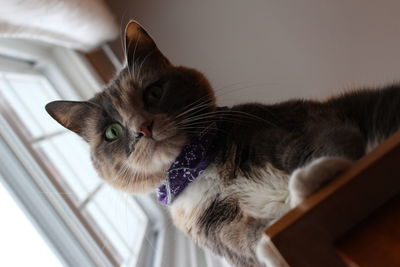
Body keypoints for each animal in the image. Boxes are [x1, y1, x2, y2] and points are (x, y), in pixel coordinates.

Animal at [44, 21, 400, 267]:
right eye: (112, 132)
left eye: (153, 92)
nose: (142, 127)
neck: (200, 166)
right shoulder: (219, 232)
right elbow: (252, 241)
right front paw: (270, 241)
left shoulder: (301, 123)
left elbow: (325, 142)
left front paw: (313, 177)